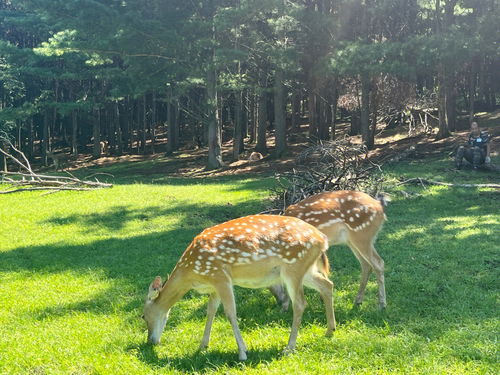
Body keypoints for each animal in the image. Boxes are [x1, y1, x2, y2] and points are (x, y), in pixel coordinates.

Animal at [143, 214, 334, 362]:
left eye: (143, 316)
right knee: (327, 285)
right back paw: (330, 331)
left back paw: (289, 347)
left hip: (293, 267)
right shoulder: (214, 283)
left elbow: (230, 313)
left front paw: (242, 352)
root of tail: (322, 239)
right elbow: (211, 310)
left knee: (300, 303)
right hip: (305, 270)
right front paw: (203, 345)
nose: (150, 341)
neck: (192, 273)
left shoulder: (220, 276)